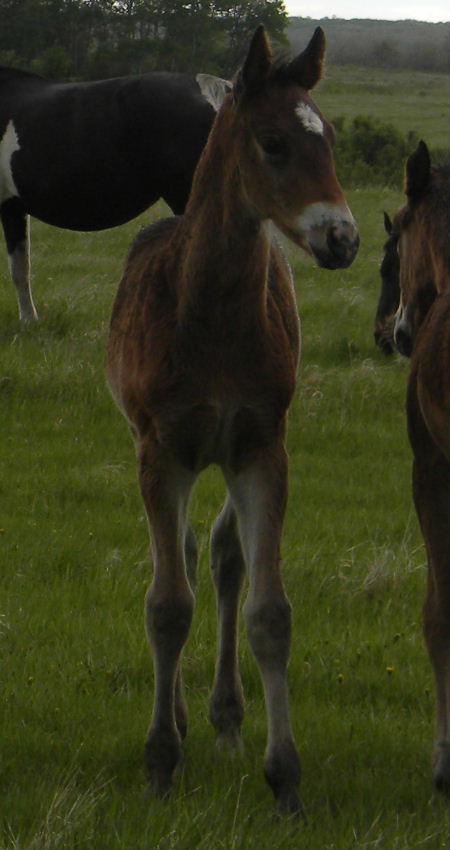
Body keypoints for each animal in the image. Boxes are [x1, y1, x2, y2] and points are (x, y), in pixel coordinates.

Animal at [106, 25, 359, 814]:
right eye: (273, 142)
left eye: (329, 139)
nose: (343, 239)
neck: (210, 315)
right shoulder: (161, 449)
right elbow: (165, 606)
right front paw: (160, 762)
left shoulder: (260, 446)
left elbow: (268, 612)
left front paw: (286, 776)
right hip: (170, 452)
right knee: (185, 558)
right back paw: (186, 722)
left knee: (222, 558)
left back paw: (223, 718)